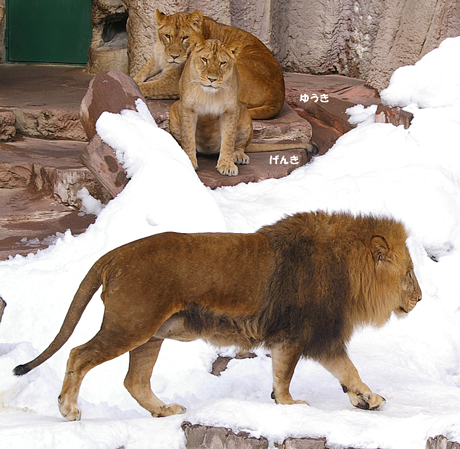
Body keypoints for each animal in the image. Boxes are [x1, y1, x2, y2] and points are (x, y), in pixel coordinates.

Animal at [14, 211, 420, 420]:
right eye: (410, 273)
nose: (418, 298)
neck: (349, 269)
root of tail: (115, 253)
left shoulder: (303, 336)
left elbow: (340, 374)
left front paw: (364, 399)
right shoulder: (306, 335)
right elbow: (321, 372)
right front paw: (291, 406)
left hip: (150, 335)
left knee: (135, 381)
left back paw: (164, 410)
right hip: (131, 325)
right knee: (78, 355)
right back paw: (68, 409)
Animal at [133, 9, 284, 120]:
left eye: (185, 38)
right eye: (167, 36)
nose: (174, 56)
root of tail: (278, 100)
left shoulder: (173, 82)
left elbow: (146, 87)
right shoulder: (157, 58)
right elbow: (141, 73)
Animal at [171, 33, 253, 176]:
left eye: (222, 63)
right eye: (204, 59)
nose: (212, 79)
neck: (209, 95)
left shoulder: (230, 110)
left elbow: (228, 140)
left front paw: (227, 165)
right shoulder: (187, 108)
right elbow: (188, 138)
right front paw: (189, 162)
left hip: (246, 115)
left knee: (239, 145)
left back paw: (239, 156)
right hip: (174, 109)